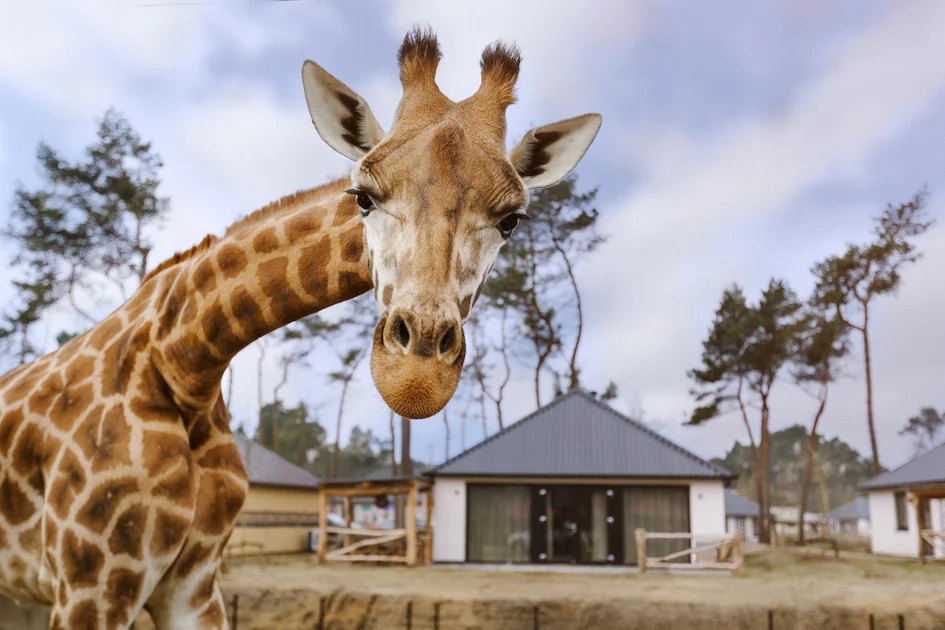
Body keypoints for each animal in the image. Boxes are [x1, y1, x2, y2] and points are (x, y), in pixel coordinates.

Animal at [0, 25, 600, 630]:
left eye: (511, 220)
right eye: (363, 196)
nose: (415, 378)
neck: (186, 361)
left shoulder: (193, 582)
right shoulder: (90, 583)